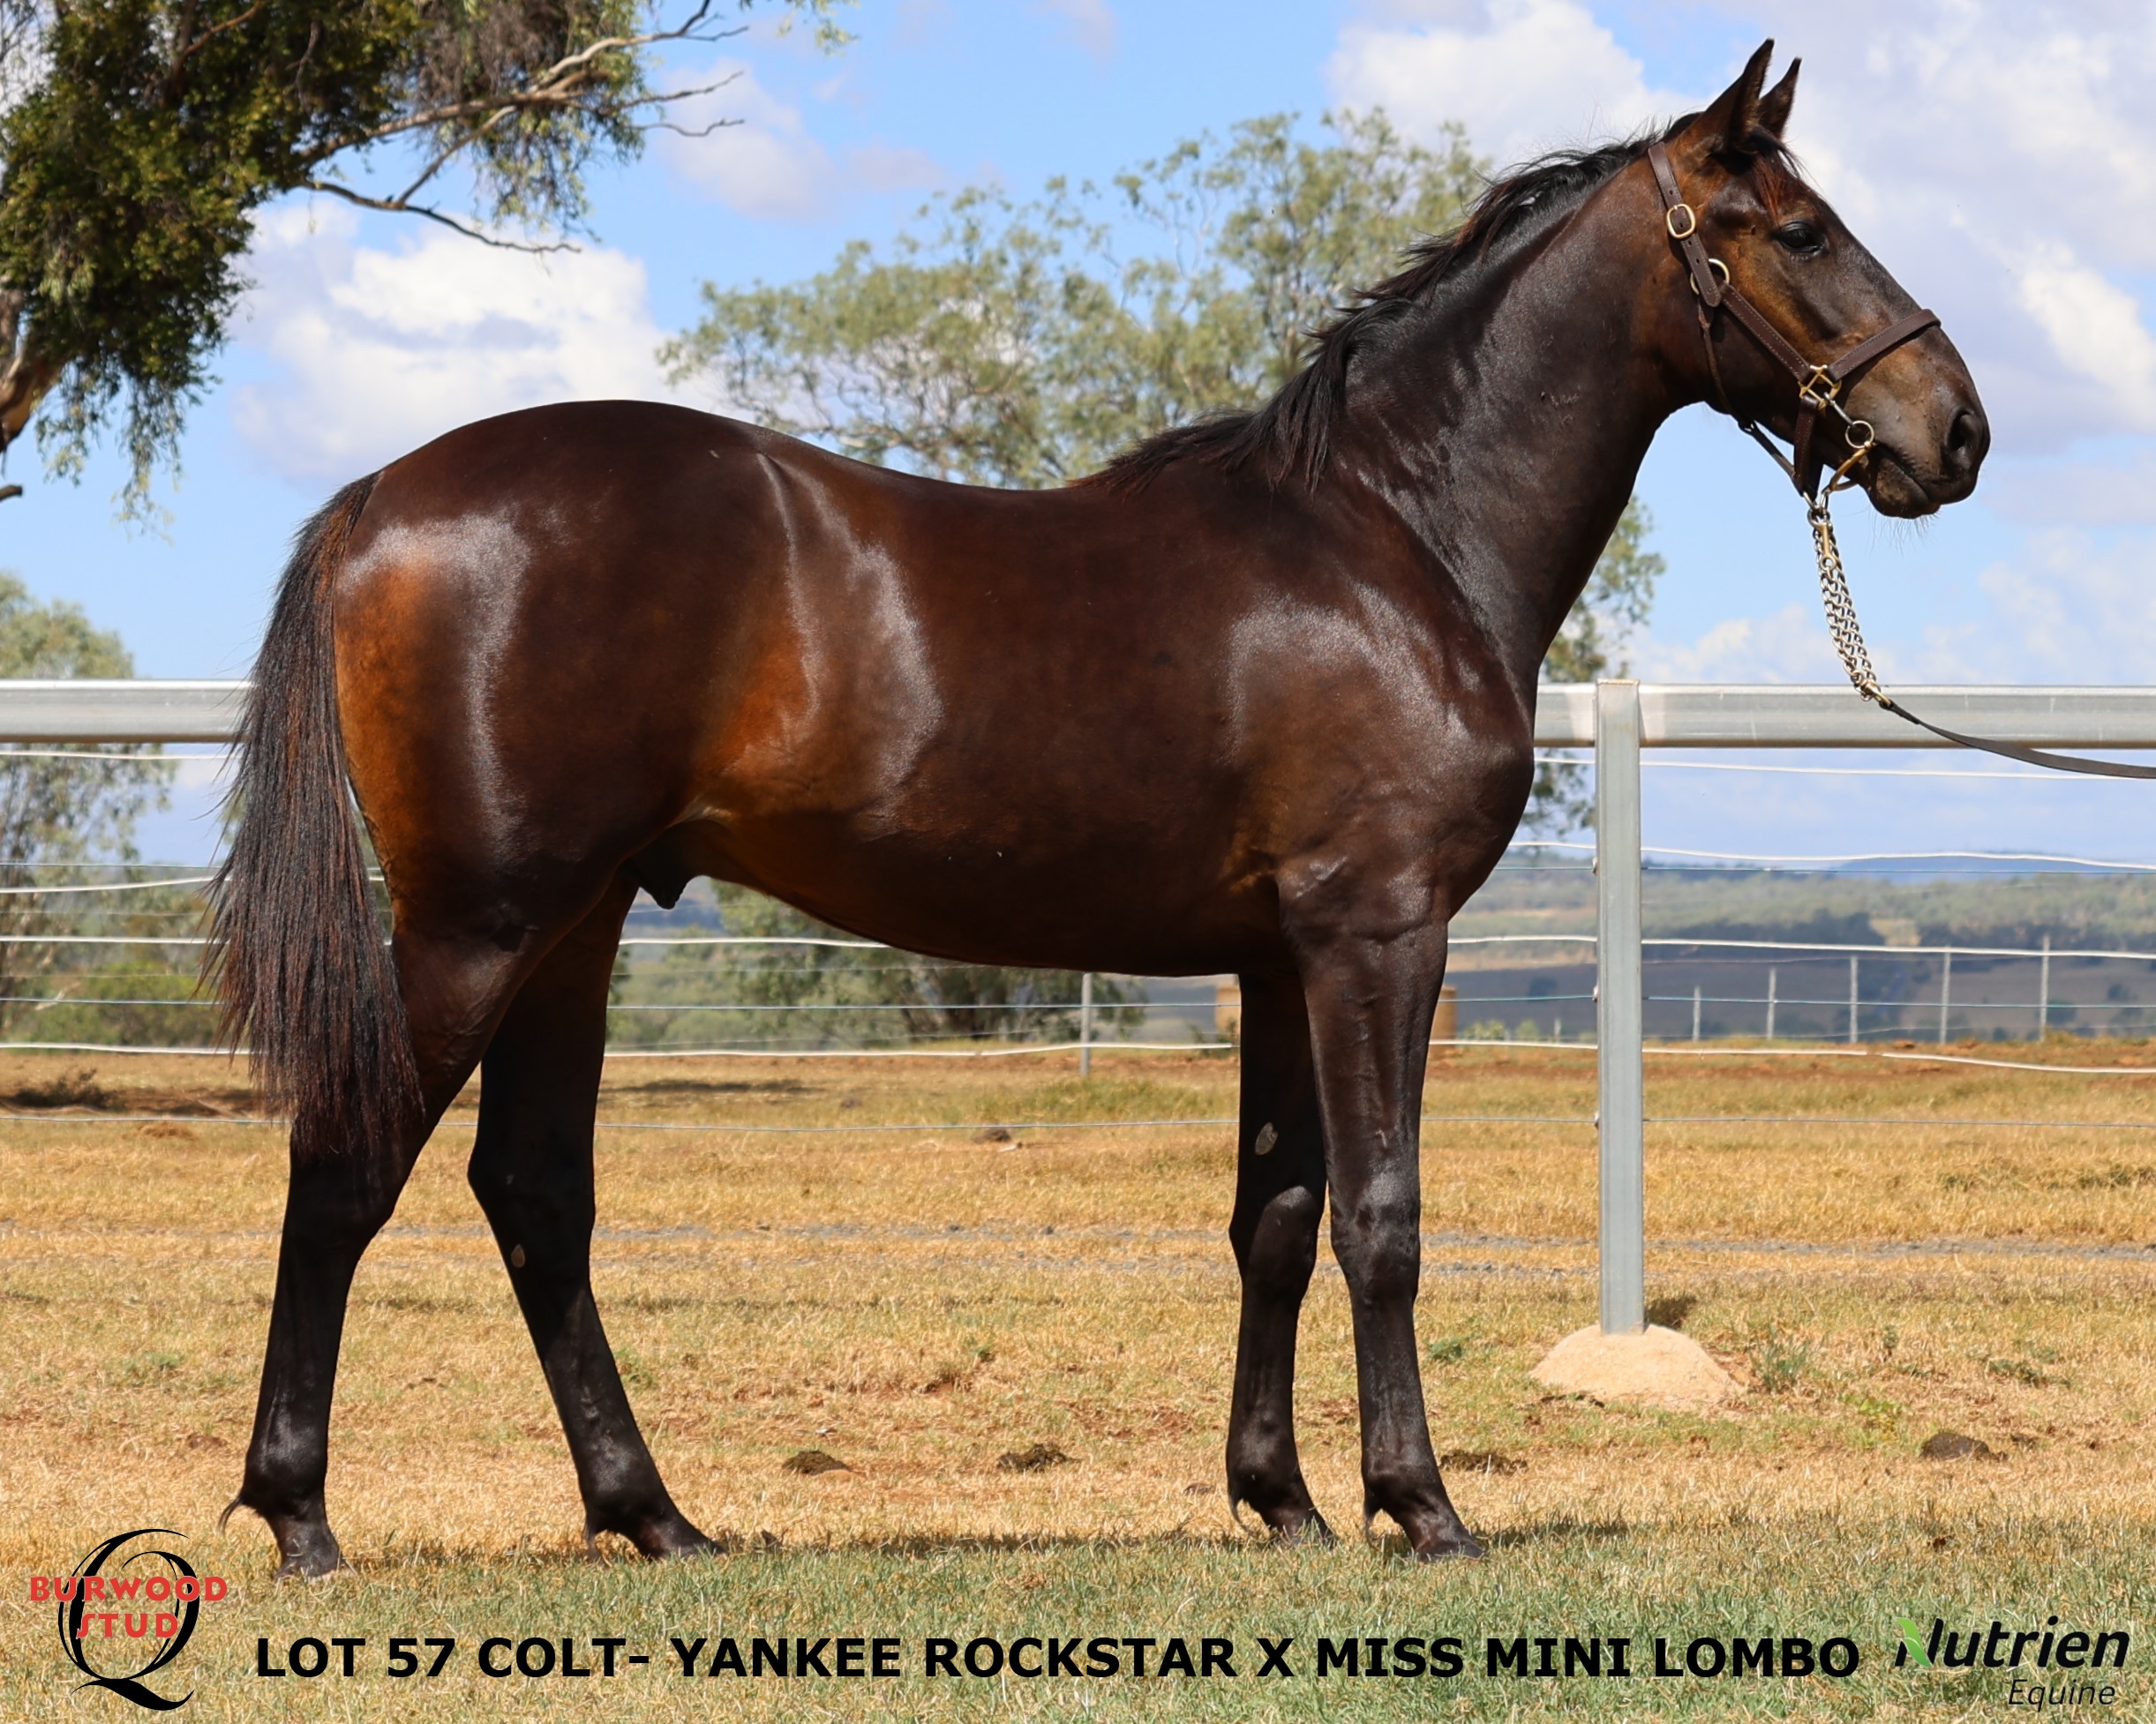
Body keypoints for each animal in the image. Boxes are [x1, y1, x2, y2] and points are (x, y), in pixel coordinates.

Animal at [211, 41, 1986, 1577]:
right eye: (1799, 228)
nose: (1952, 430)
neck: (1391, 534)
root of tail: (380, 495)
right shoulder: (1376, 933)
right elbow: (1383, 1214)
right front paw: (1418, 1503)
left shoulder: (1276, 954)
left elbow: (1275, 1214)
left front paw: (1280, 1498)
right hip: (479, 922)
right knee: (348, 1160)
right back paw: (301, 1515)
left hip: (574, 927)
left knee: (533, 1195)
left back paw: (653, 1514)